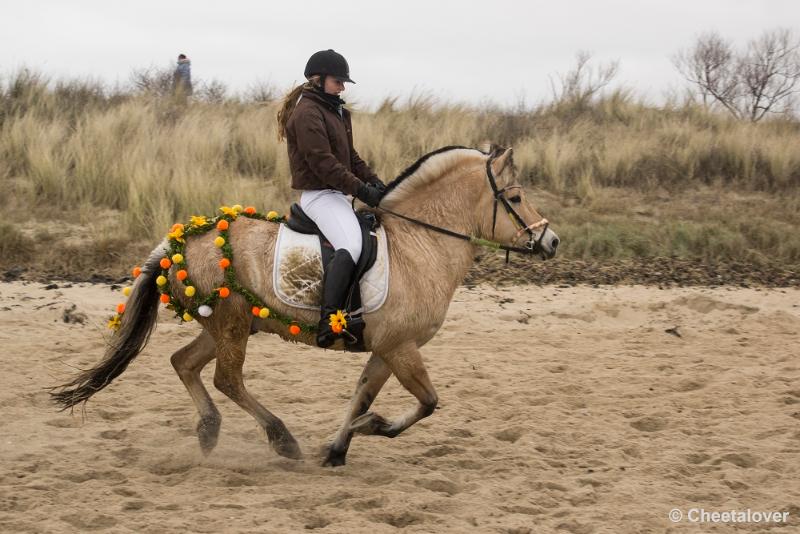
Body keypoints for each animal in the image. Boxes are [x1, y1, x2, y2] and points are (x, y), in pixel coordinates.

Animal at [53, 144, 560, 466]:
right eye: (515, 197)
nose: (551, 241)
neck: (420, 243)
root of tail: (182, 240)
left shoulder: (386, 350)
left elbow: (361, 396)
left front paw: (338, 449)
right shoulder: (401, 347)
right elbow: (428, 402)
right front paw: (371, 429)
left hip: (226, 326)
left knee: (184, 363)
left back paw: (210, 430)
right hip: (233, 326)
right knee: (226, 379)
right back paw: (281, 440)